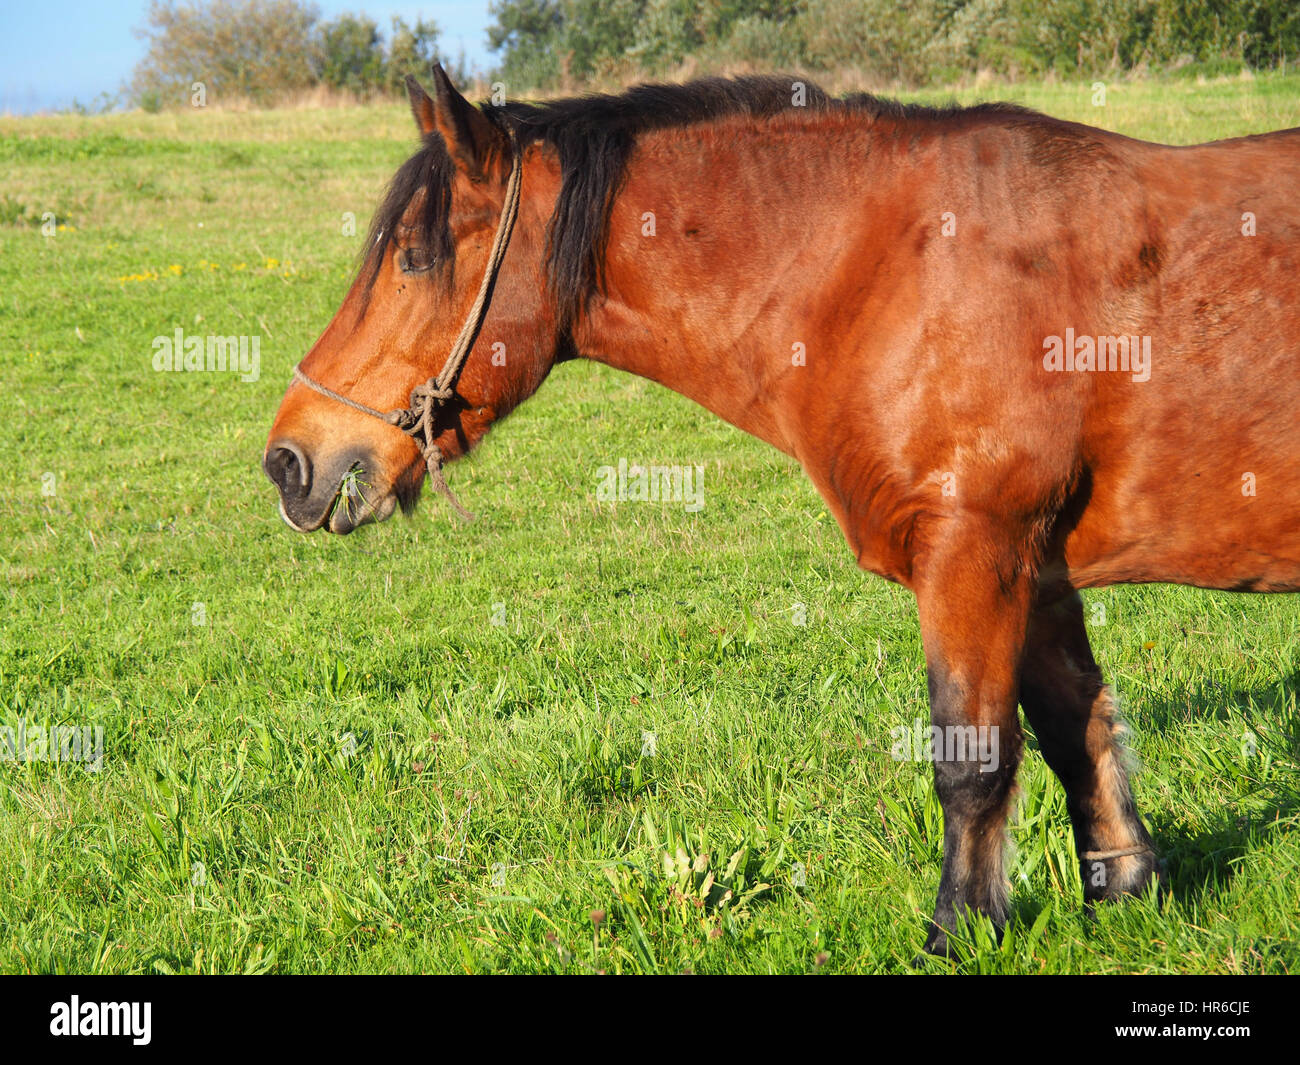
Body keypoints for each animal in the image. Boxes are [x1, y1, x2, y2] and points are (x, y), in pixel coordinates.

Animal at [263, 65, 1300, 957]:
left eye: (413, 257)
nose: (288, 460)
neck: (893, 266)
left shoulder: (976, 552)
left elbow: (971, 760)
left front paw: (957, 932)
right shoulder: (1035, 571)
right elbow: (1074, 730)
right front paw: (1122, 891)